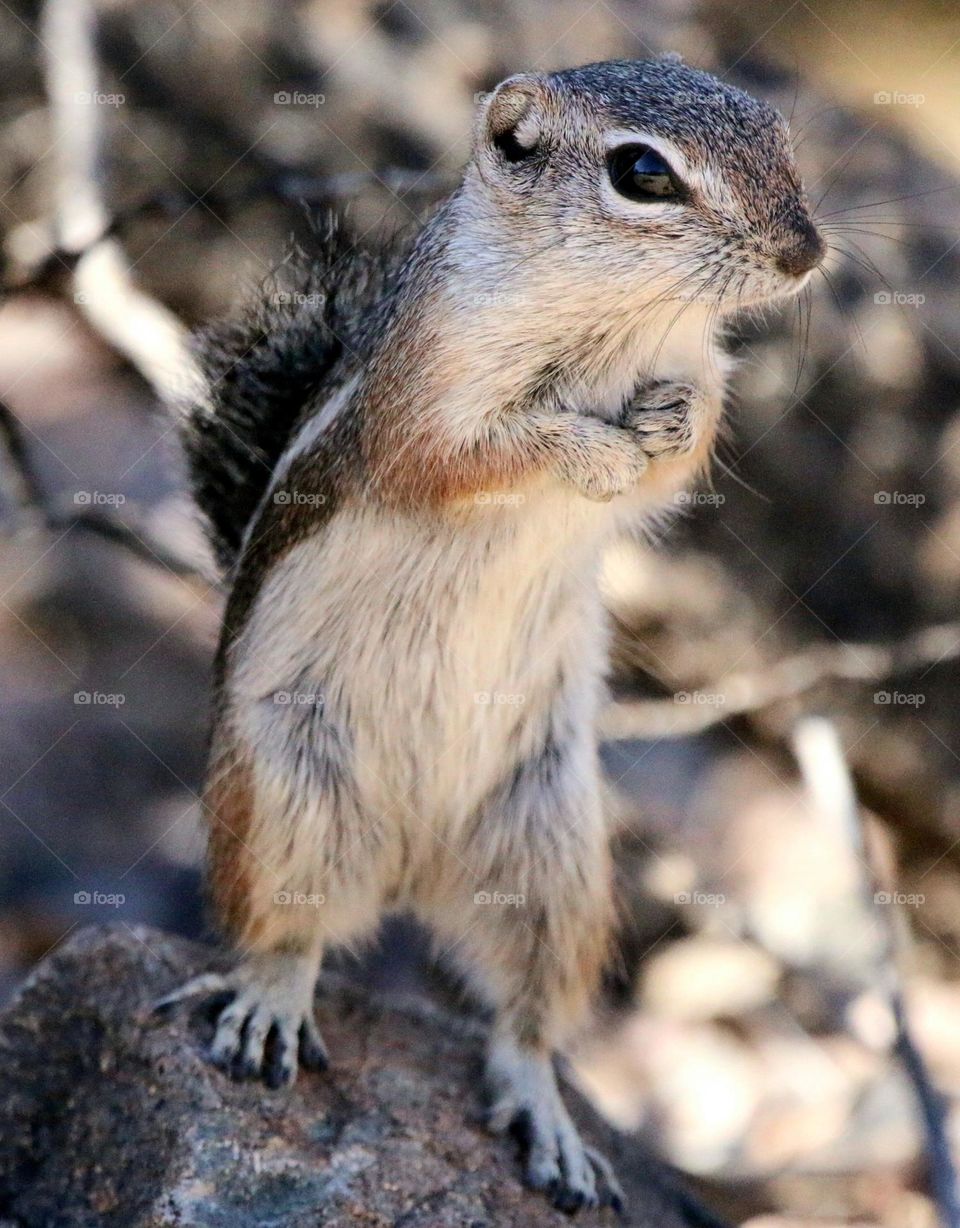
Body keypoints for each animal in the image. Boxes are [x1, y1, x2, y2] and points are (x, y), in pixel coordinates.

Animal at [158, 55, 824, 1213]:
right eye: (642, 173)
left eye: (778, 137)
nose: (805, 252)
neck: (615, 320)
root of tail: (409, 866)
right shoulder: (428, 393)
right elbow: (473, 454)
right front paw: (589, 450)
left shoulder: (695, 360)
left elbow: (680, 460)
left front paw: (668, 427)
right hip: (286, 799)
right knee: (283, 932)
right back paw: (272, 1005)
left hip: (552, 849)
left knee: (525, 1012)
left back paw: (548, 1119)